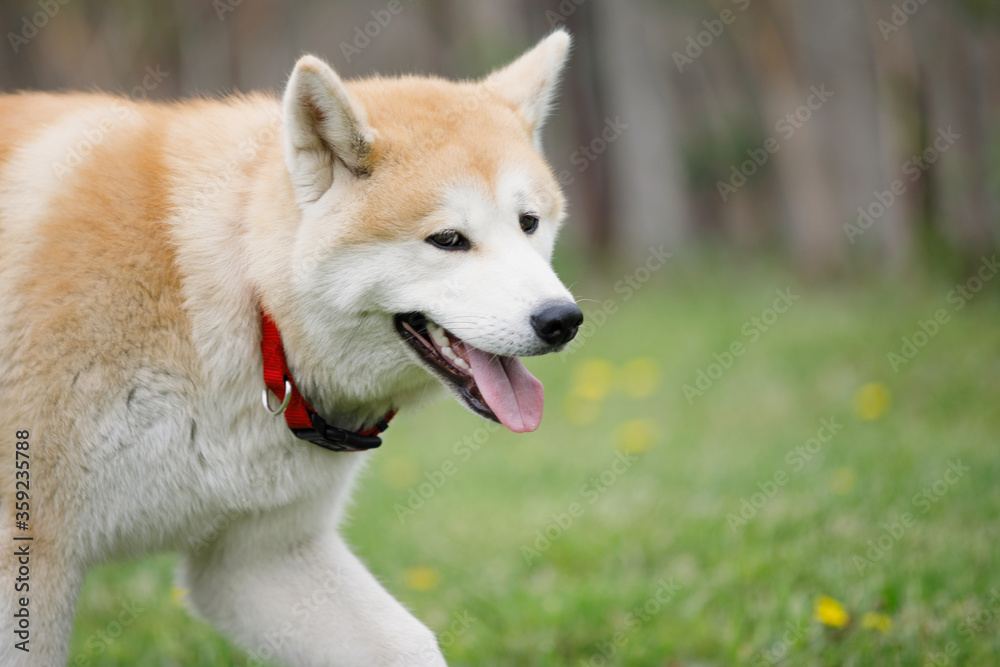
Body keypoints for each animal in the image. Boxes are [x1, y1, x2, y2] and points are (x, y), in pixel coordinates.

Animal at [0, 30, 580, 667]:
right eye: (449, 239)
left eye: (528, 223)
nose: (562, 320)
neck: (244, 305)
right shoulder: (33, 559)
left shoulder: (258, 560)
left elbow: (413, 645)